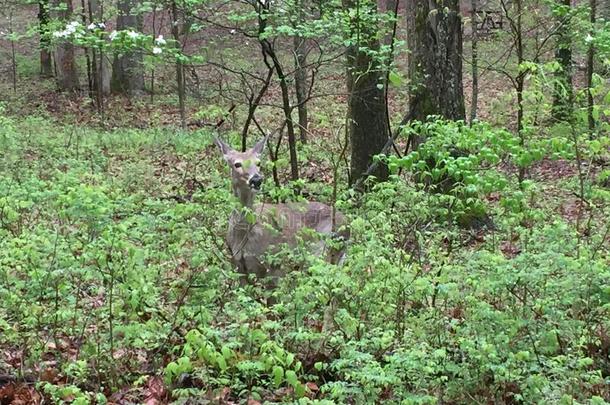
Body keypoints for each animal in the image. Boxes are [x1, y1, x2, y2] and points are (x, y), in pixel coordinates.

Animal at [214, 134, 346, 286]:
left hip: (323, 249)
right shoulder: (237, 265)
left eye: (258, 163)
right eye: (237, 164)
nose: (256, 179)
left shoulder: (275, 265)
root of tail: (348, 223)